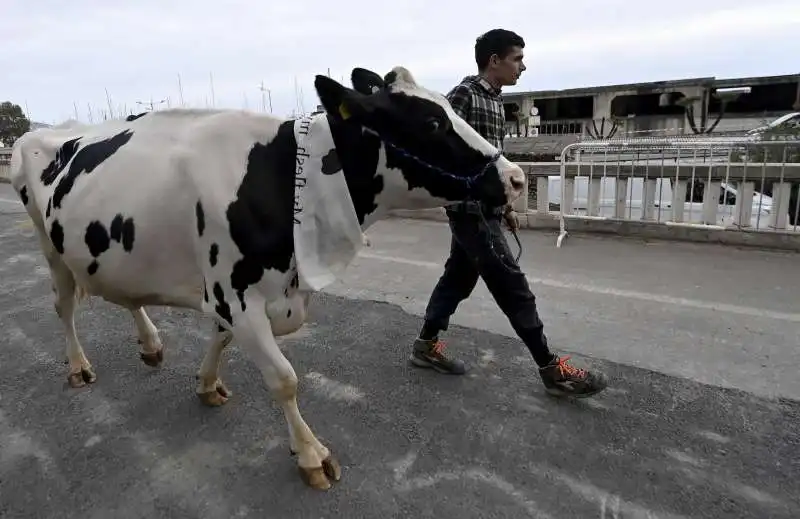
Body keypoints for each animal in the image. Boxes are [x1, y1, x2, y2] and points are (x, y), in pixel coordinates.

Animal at [9, 66, 528, 492]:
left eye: (448, 108)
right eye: (432, 123)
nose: (517, 178)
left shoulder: (235, 293)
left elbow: (220, 339)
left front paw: (207, 384)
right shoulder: (234, 294)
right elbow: (284, 379)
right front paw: (312, 455)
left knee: (125, 295)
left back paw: (151, 344)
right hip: (47, 241)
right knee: (64, 306)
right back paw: (78, 366)